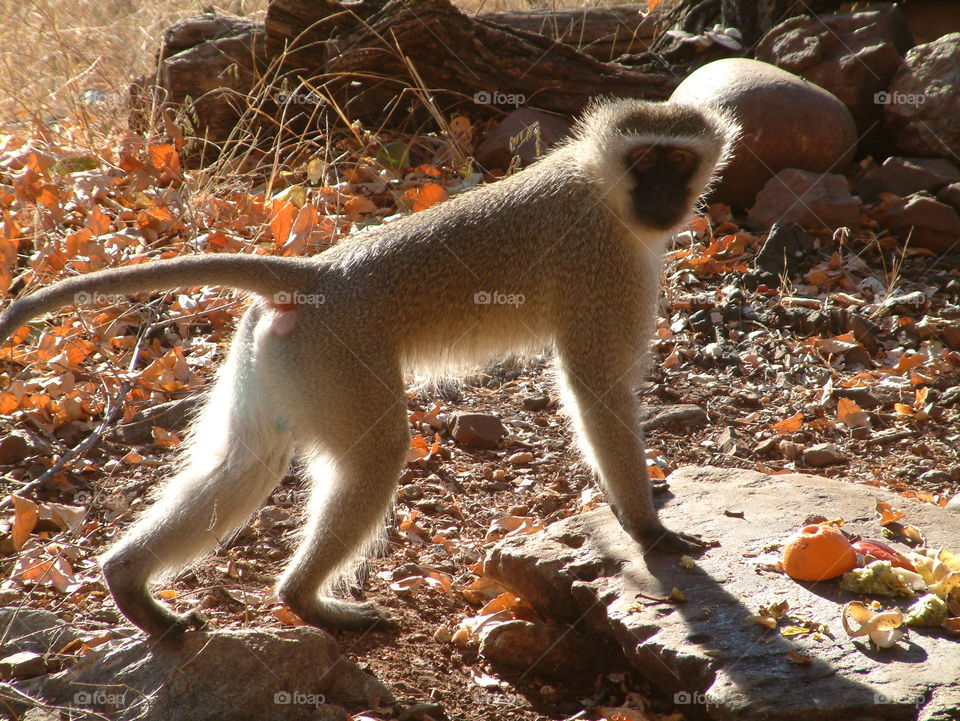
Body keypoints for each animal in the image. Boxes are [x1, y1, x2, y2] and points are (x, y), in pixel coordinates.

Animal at [0, 98, 738, 641]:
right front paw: (646, 526)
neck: (601, 186)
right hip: (339, 355)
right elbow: (596, 386)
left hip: (279, 352)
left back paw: (130, 583)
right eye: (644, 158)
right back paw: (304, 597)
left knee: (247, 460)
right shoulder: (602, 266)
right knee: (378, 452)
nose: (665, 192)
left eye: (679, 158)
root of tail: (320, 273)